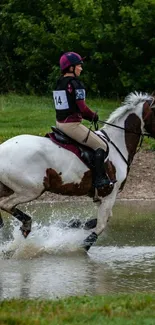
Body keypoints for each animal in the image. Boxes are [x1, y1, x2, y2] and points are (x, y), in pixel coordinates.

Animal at [0, 91, 155, 251]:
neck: (118, 143)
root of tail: (2, 148)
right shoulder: (109, 194)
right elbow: (101, 225)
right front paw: (82, 247)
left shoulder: (101, 196)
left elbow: (100, 220)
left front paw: (72, 224)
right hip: (31, 190)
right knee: (6, 204)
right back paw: (27, 224)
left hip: (9, 187)